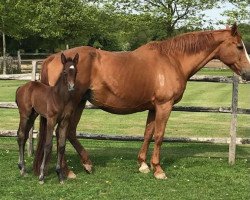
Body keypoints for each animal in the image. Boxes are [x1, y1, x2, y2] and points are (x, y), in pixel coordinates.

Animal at [16, 52, 78, 183]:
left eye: (76, 71)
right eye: (65, 71)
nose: (71, 87)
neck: (60, 98)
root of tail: (21, 87)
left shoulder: (64, 122)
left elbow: (61, 146)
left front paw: (60, 175)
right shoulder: (51, 120)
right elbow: (48, 145)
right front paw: (41, 176)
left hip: (33, 116)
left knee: (24, 136)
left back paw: (22, 167)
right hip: (24, 115)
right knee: (21, 135)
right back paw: (23, 169)